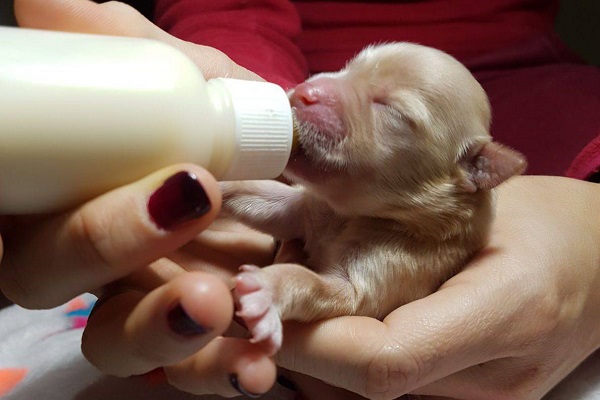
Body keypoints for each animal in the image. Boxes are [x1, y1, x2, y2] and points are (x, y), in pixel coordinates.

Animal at [220, 43, 524, 354]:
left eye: (391, 110)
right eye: (348, 67)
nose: (305, 91)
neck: (350, 214)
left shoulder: (378, 278)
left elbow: (310, 282)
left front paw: (267, 290)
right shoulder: (305, 209)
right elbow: (262, 197)